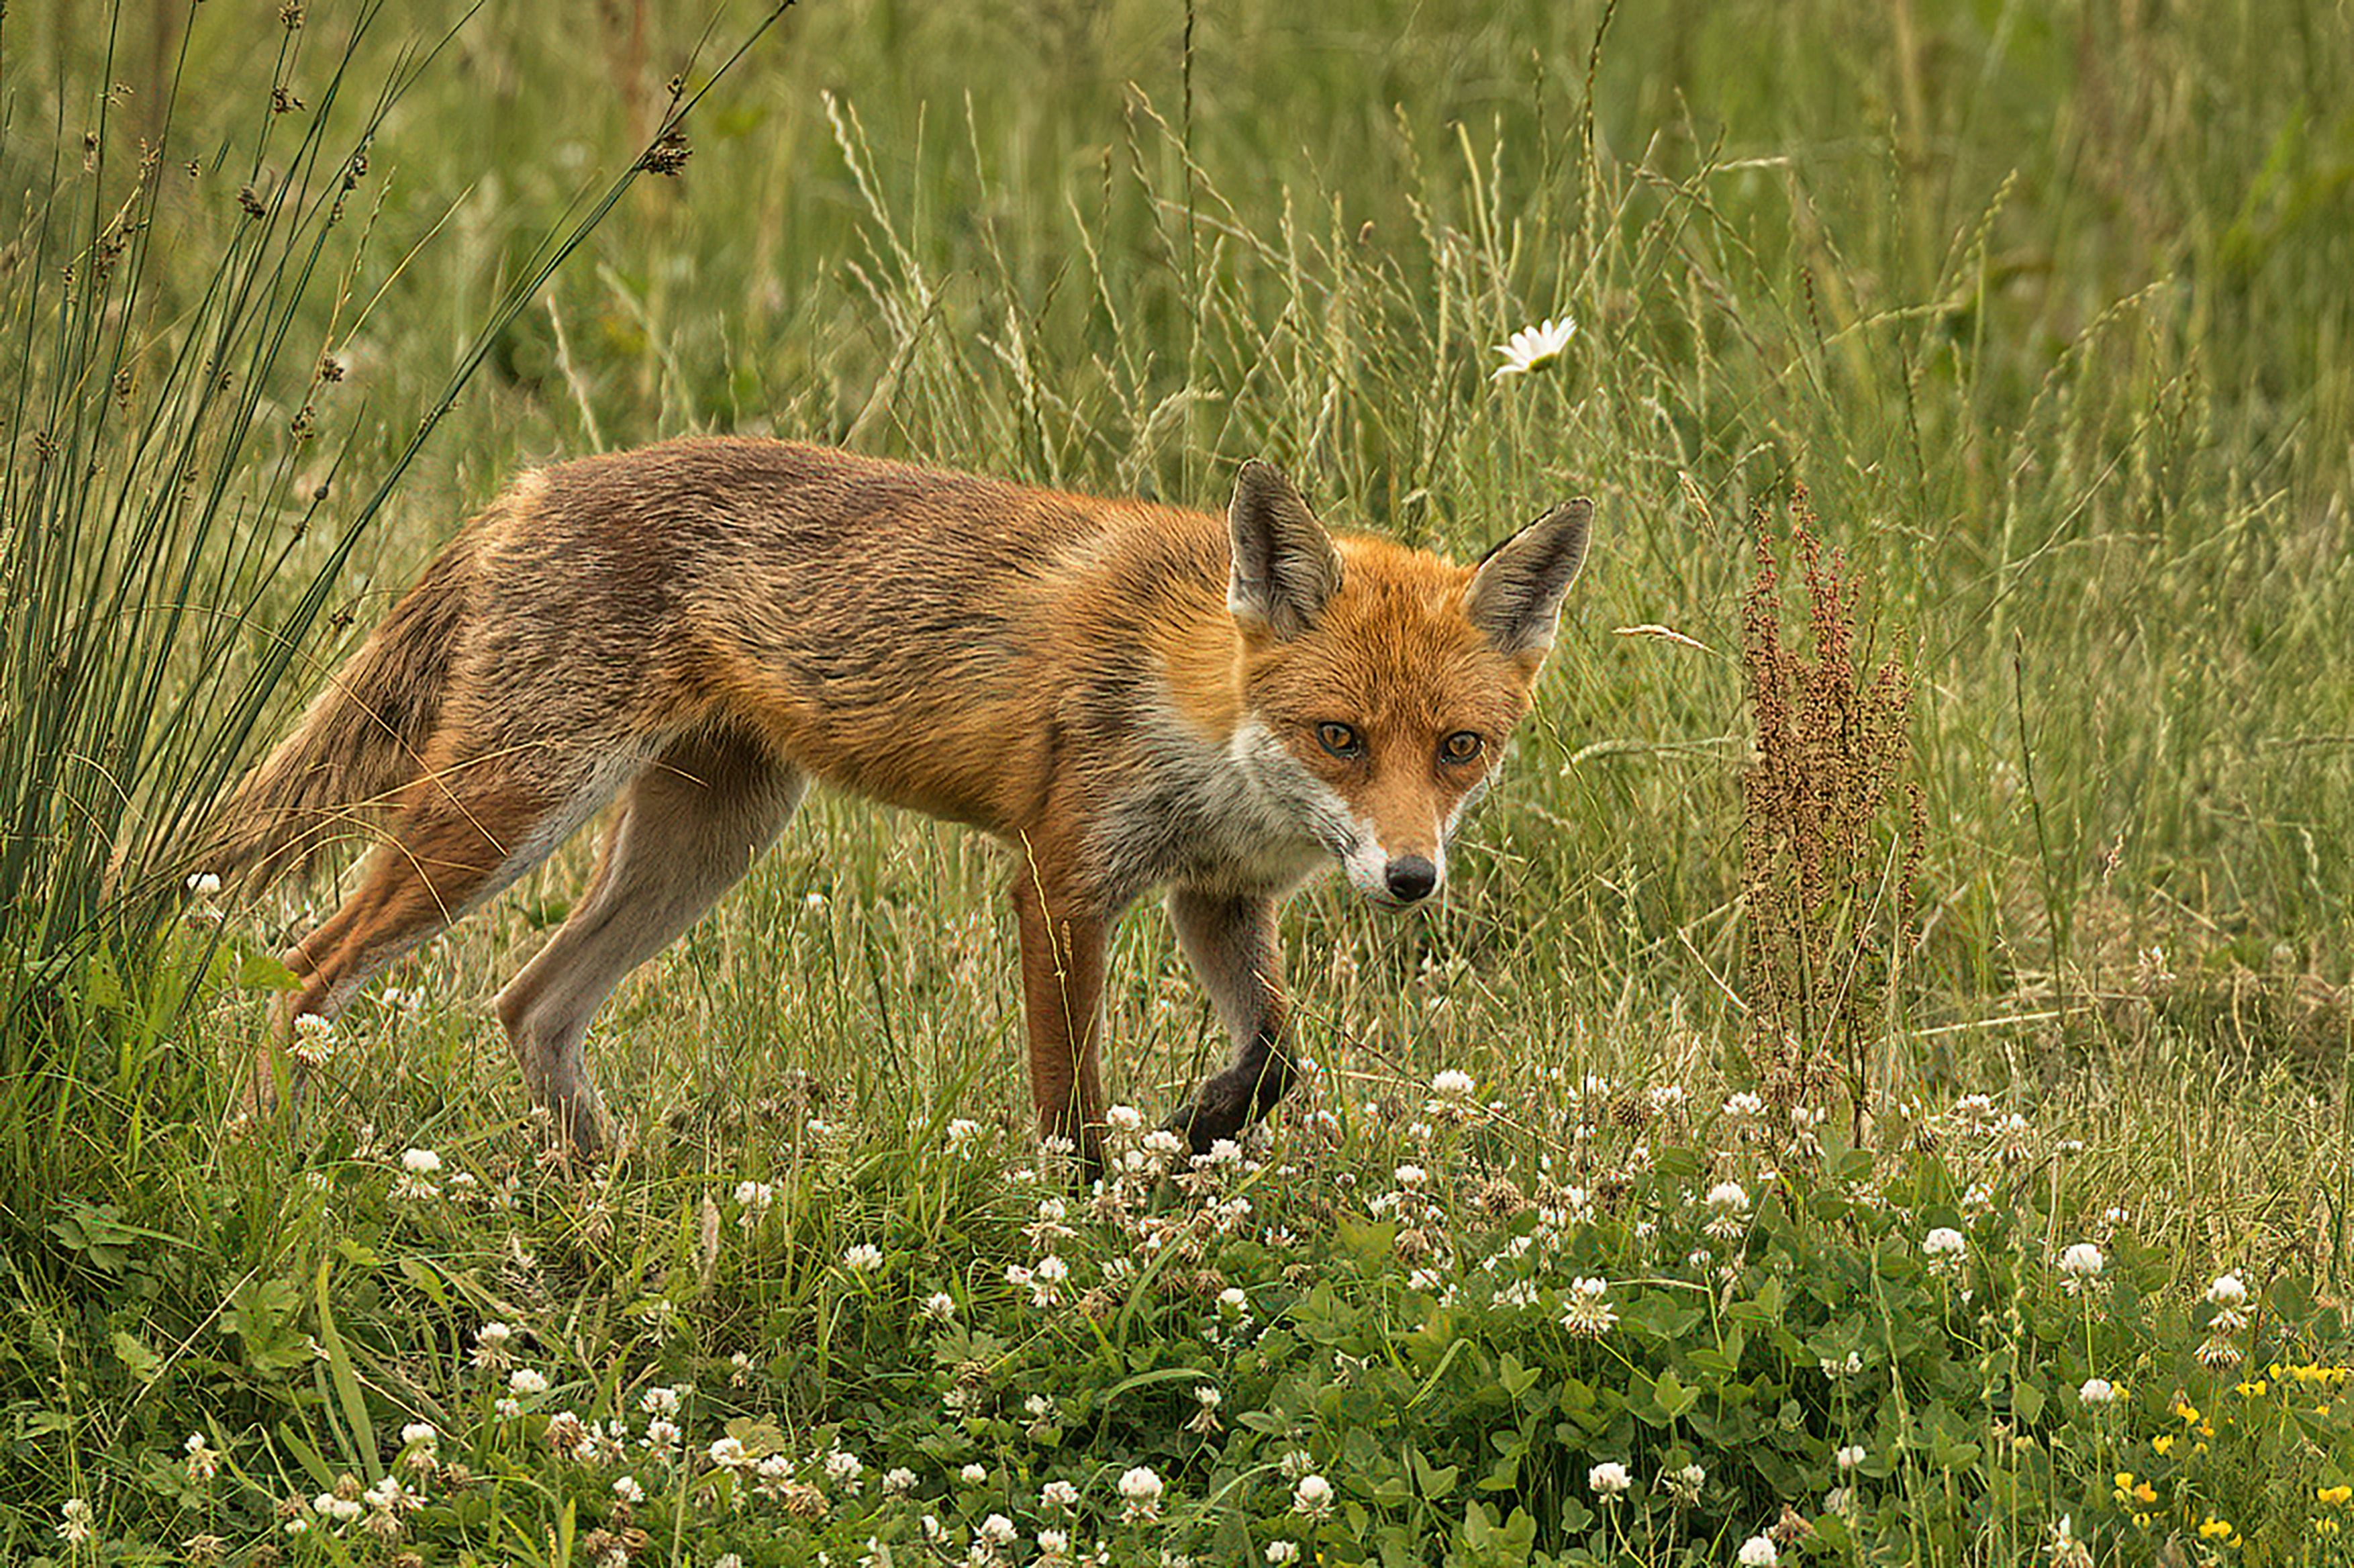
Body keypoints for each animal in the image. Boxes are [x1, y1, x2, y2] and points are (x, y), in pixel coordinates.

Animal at [208, 439, 1591, 1169]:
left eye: (1460, 747)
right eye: (1339, 737)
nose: (1410, 880)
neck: (1200, 708)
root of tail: (535, 485)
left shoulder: (1213, 895)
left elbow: (1279, 1055)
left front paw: (1204, 1124)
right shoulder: (1058, 881)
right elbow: (1068, 1106)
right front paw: (1088, 1223)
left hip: (704, 844)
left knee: (527, 1006)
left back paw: (608, 1188)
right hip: (508, 811)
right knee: (308, 964)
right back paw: (263, 1149)